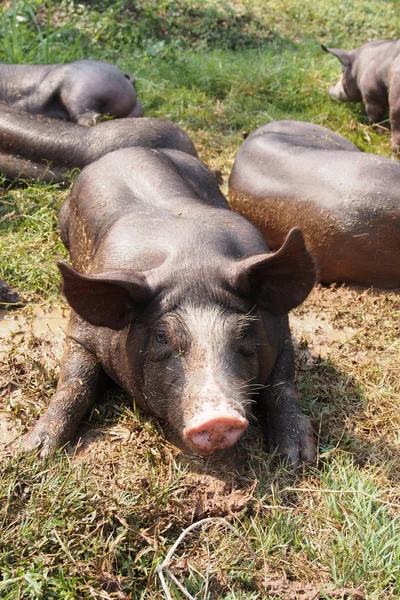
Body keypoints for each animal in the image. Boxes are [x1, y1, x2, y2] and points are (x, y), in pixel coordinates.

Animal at [23, 146, 318, 464]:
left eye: (243, 332)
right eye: (162, 336)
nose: (218, 418)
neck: (191, 254)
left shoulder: (282, 332)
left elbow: (282, 384)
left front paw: (297, 457)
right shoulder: (80, 331)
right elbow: (75, 382)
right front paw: (35, 452)